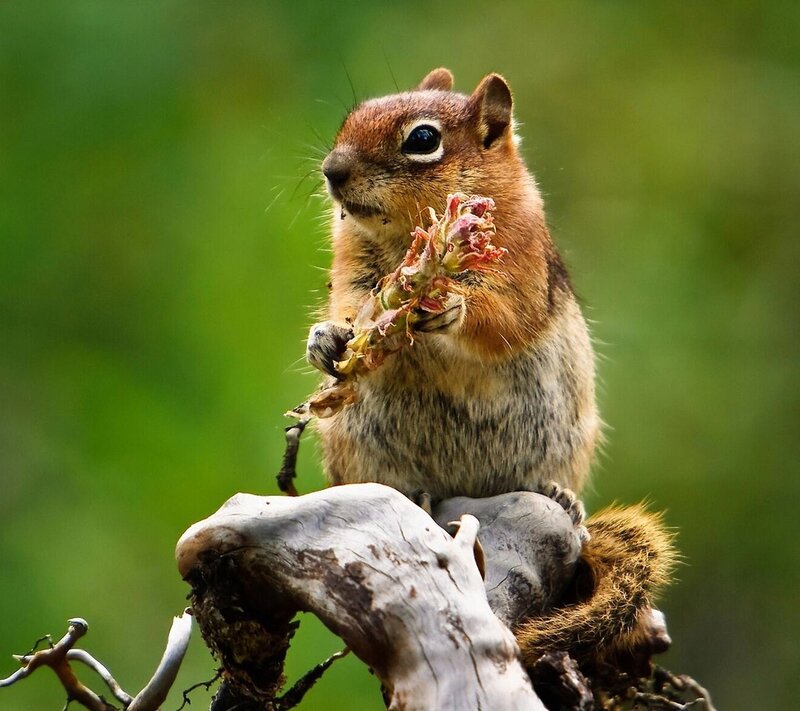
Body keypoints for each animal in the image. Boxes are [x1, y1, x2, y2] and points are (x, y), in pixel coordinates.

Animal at [305, 68, 675, 672]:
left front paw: (453, 306)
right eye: (350, 119)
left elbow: (499, 317)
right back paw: (417, 495)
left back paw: (559, 496)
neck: (407, 236)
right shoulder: (354, 266)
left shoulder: (520, 261)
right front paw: (328, 340)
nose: (331, 171)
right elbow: (352, 305)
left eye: (423, 139)